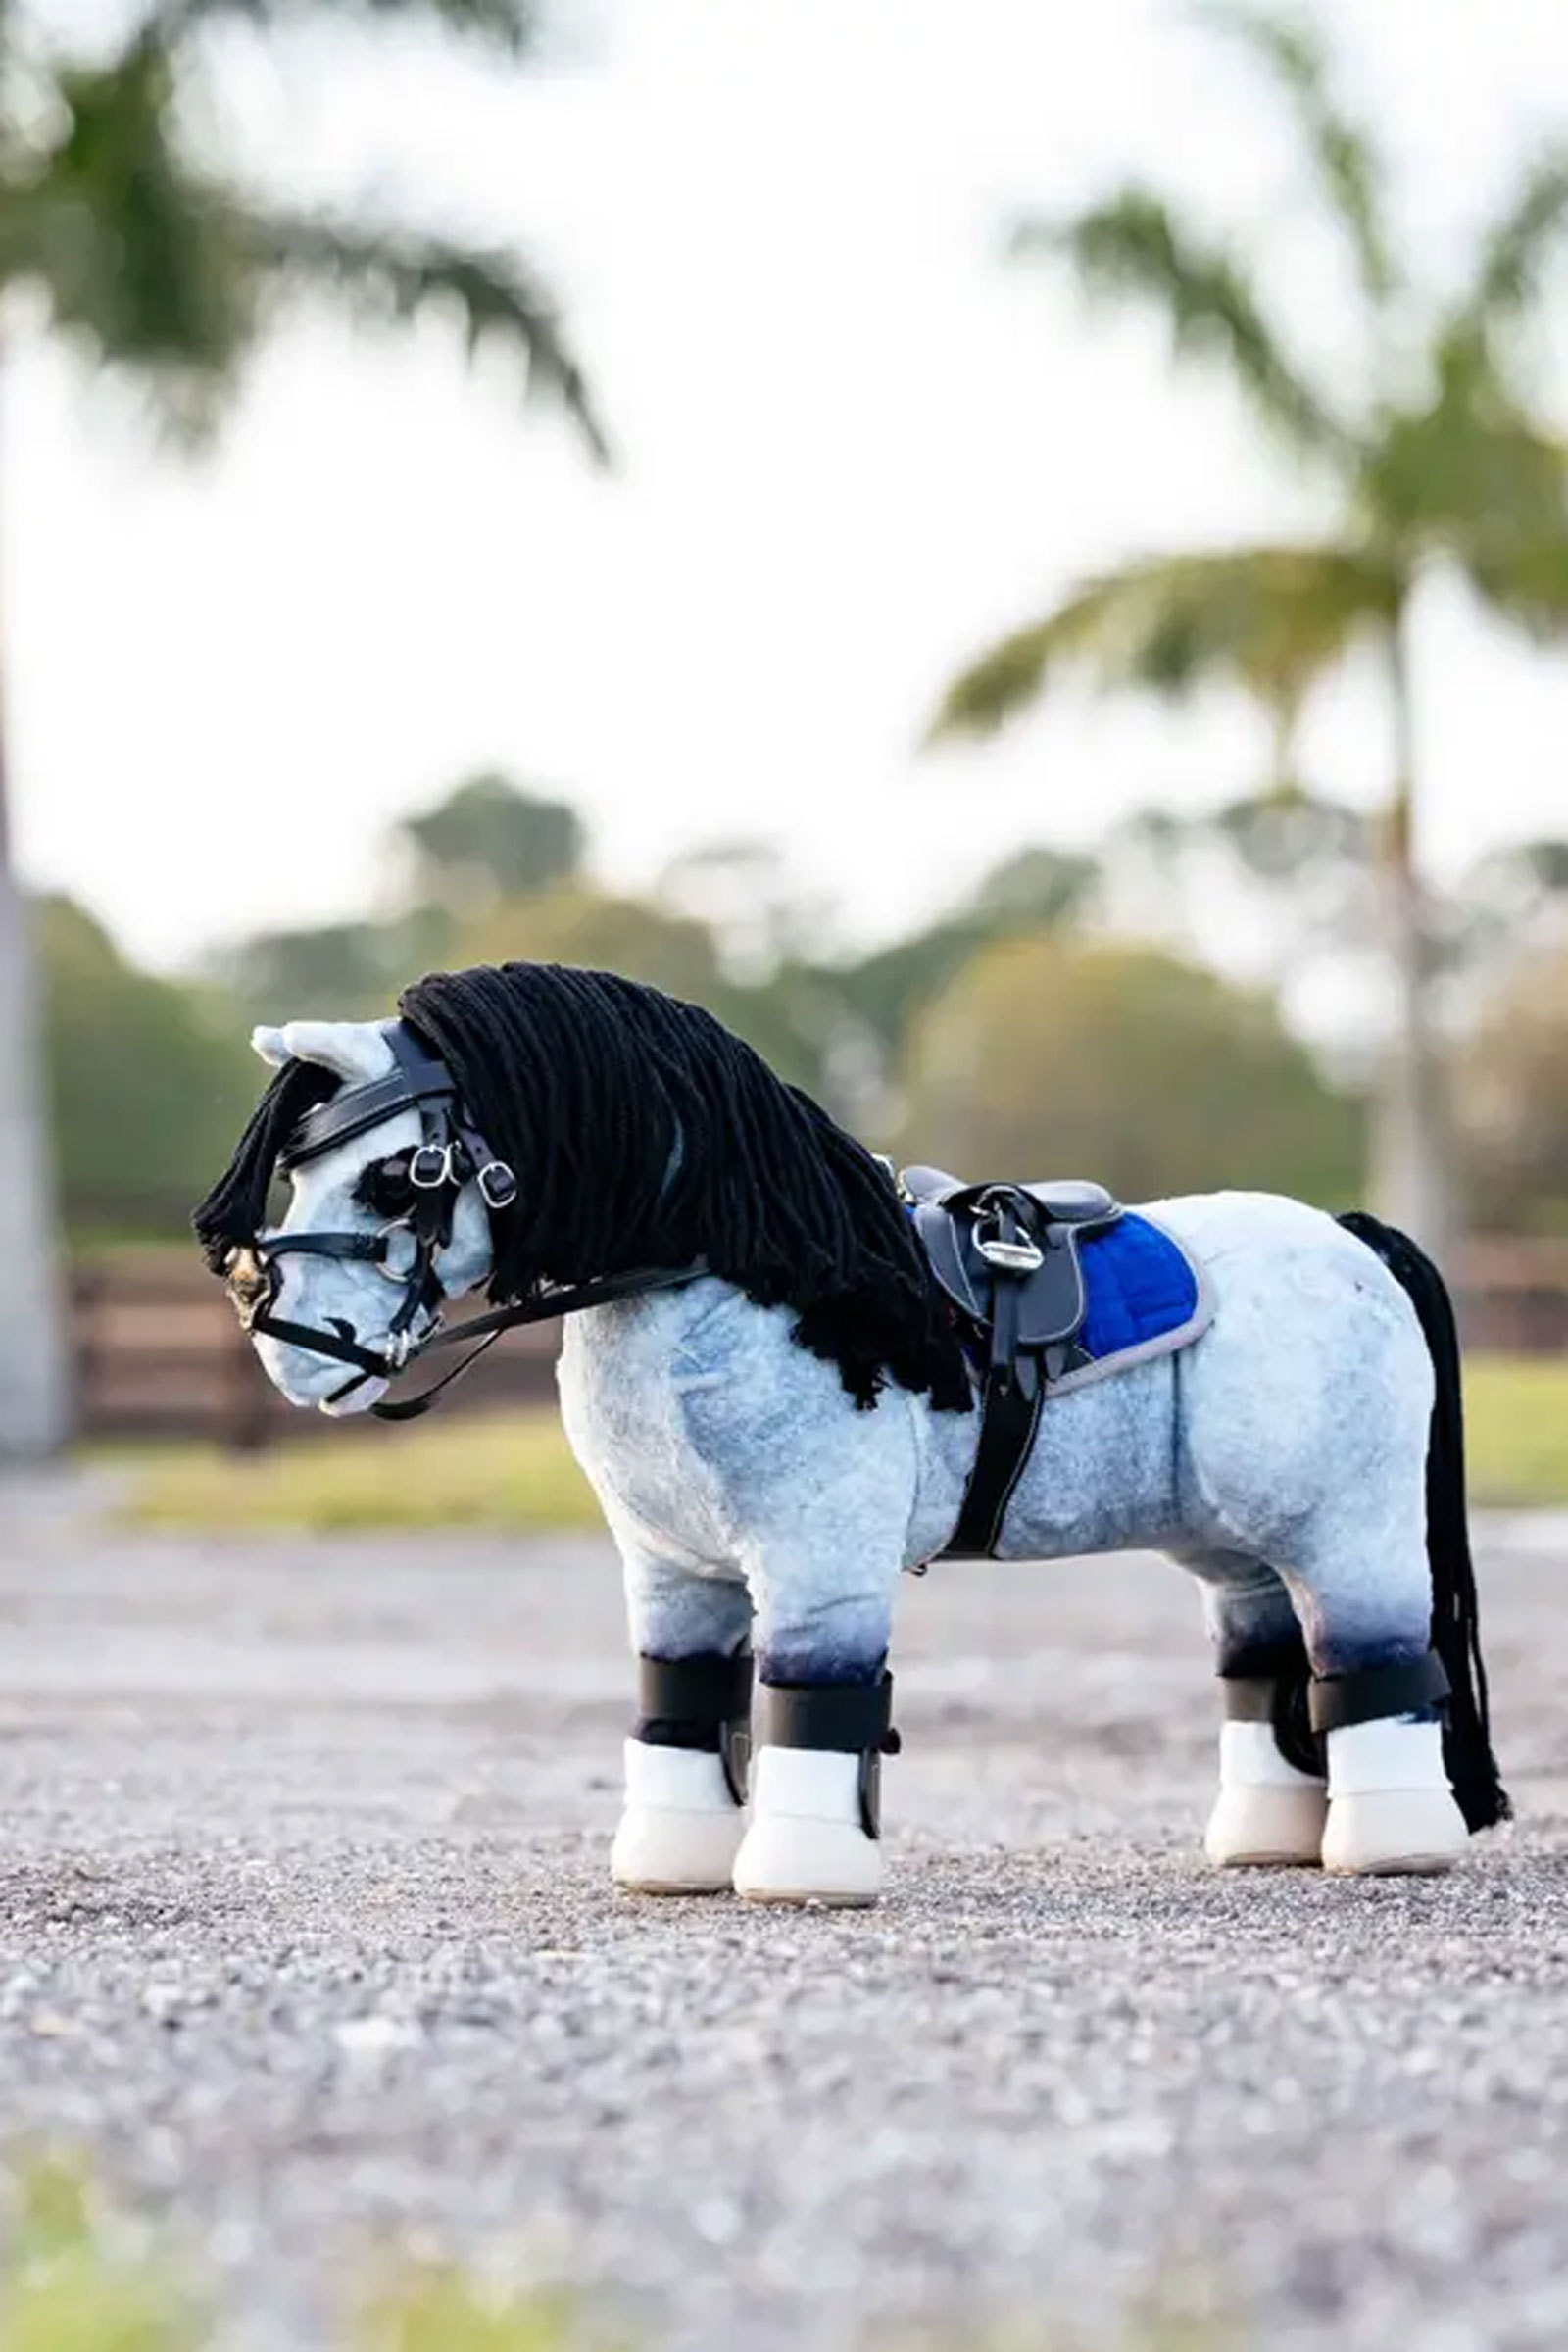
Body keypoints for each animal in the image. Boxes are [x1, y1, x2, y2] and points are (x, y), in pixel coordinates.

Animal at [193, 961, 1508, 1909]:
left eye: (395, 1177)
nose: (290, 1346)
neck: (748, 1270)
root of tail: (1348, 1237)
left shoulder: (817, 1559)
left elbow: (809, 1699)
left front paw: (800, 1877)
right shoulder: (671, 1570)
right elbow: (681, 1700)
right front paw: (673, 1866)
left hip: (1349, 1529)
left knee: (1372, 1665)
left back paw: (1388, 1846)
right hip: (1236, 1547)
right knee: (1265, 1662)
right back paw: (1265, 1843)